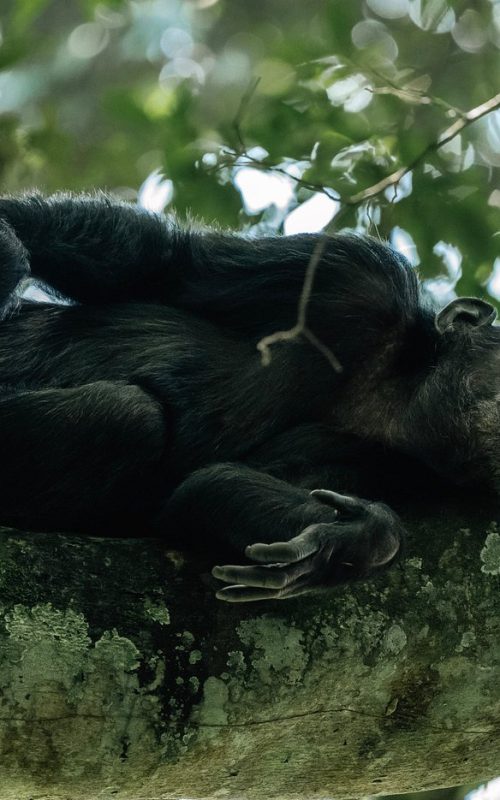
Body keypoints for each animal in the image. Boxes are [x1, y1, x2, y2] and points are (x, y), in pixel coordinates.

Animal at [0, 191, 497, 601]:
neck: (394, 393)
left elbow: (206, 492)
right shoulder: (352, 276)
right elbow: (163, 264)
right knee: (126, 415)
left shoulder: (397, 467)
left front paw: (360, 538)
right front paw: (8, 244)